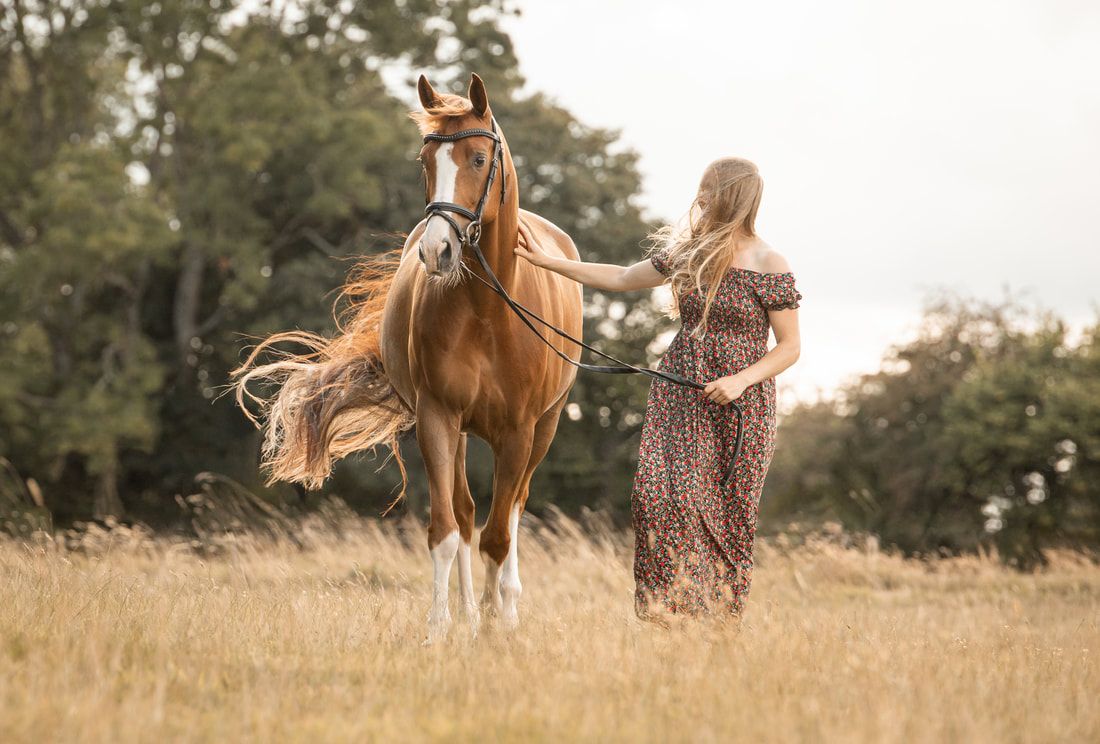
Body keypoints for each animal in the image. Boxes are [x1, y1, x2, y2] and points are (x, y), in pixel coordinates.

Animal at [234, 73, 582, 641]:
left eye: (479, 159)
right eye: (426, 161)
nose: (437, 251)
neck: (489, 310)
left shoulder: (519, 431)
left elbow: (499, 535)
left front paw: (496, 627)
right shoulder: (438, 418)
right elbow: (445, 529)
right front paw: (442, 629)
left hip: (546, 427)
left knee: (511, 512)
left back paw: (504, 608)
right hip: (463, 432)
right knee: (465, 513)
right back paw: (470, 613)